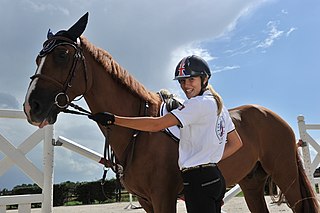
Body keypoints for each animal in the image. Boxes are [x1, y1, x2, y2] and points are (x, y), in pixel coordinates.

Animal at [22, 12, 318, 212]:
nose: (31, 107)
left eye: (62, 55)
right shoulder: (146, 200)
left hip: (286, 175)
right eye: (37, 58)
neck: (138, 133)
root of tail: (273, 117)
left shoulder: (163, 197)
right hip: (252, 183)